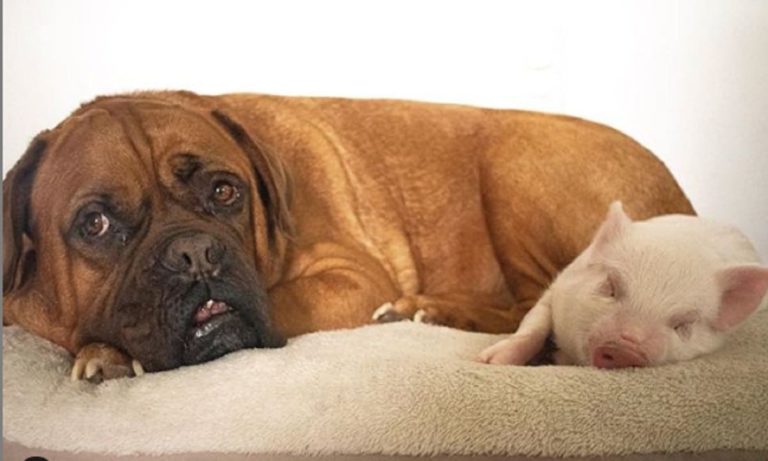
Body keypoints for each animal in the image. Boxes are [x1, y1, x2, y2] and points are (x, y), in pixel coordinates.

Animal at [478, 201, 768, 368]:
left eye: (683, 324)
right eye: (610, 287)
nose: (625, 350)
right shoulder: (557, 287)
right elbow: (533, 326)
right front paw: (490, 361)